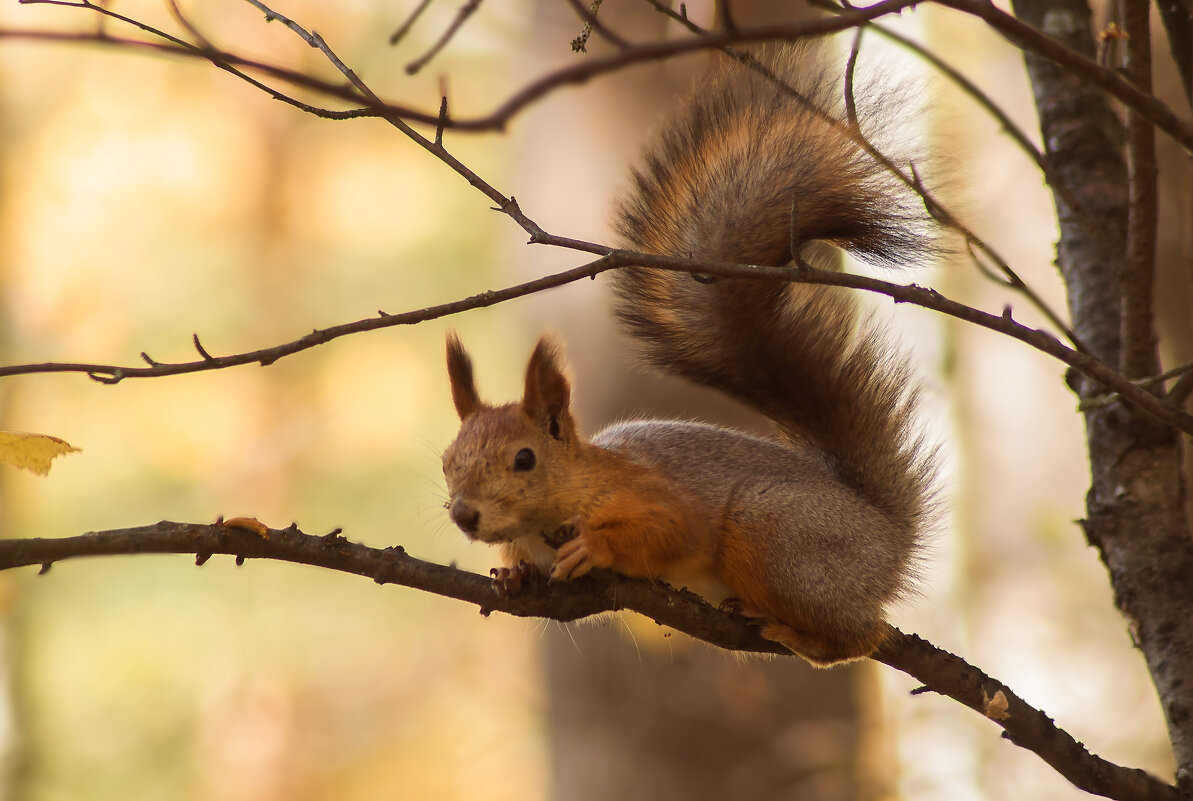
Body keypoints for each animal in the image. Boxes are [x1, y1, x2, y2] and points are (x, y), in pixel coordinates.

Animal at [443, 47, 935, 668]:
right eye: (447, 460)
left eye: (525, 459)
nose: (463, 514)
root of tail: (889, 539)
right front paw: (513, 576)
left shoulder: (652, 495)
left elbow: (669, 531)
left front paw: (596, 545)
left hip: (773, 535)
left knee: (861, 636)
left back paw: (791, 632)